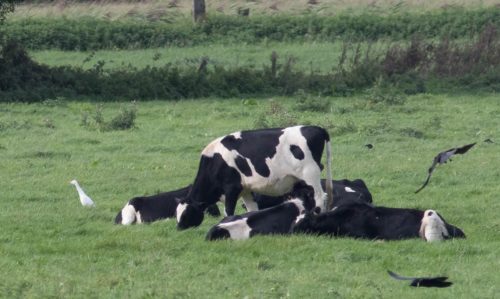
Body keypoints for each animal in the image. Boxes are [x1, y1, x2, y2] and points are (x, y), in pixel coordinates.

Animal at [176, 125, 332, 231]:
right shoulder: (245, 190)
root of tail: (317, 128)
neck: (214, 161)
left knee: (320, 196)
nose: (179, 228)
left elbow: (228, 210)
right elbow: (252, 209)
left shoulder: (231, 188)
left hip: (310, 174)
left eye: (186, 214)